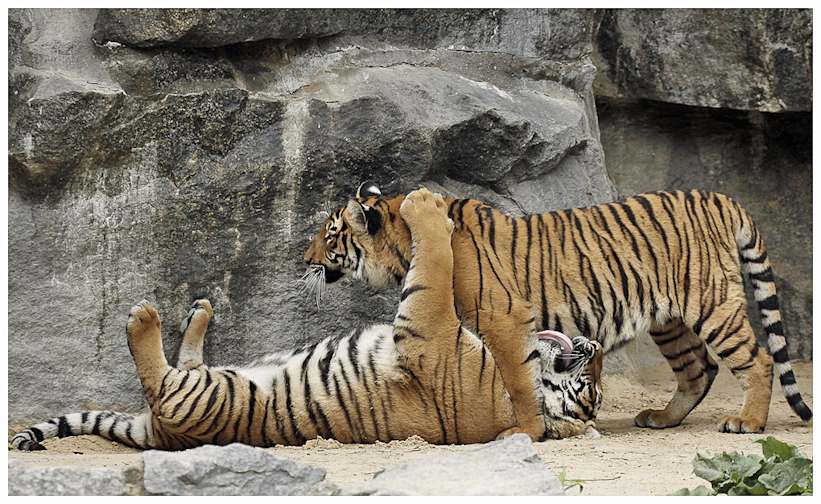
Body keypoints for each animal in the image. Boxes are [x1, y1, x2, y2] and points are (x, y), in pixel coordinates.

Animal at [11, 189, 603, 452]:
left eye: (590, 390)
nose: (591, 346)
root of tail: (158, 434)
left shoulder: (429, 327)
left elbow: (432, 261)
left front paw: (423, 203)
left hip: (206, 400)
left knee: (162, 381)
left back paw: (145, 314)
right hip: (209, 382)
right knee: (190, 361)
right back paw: (201, 309)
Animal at [303, 182, 812, 437]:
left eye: (330, 236)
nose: (304, 261)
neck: (405, 239)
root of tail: (720, 197)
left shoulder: (503, 318)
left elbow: (519, 382)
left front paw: (525, 432)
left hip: (711, 303)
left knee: (758, 359)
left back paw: (747, 422)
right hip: (670, 320)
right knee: (698, 369)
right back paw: (661, 418)